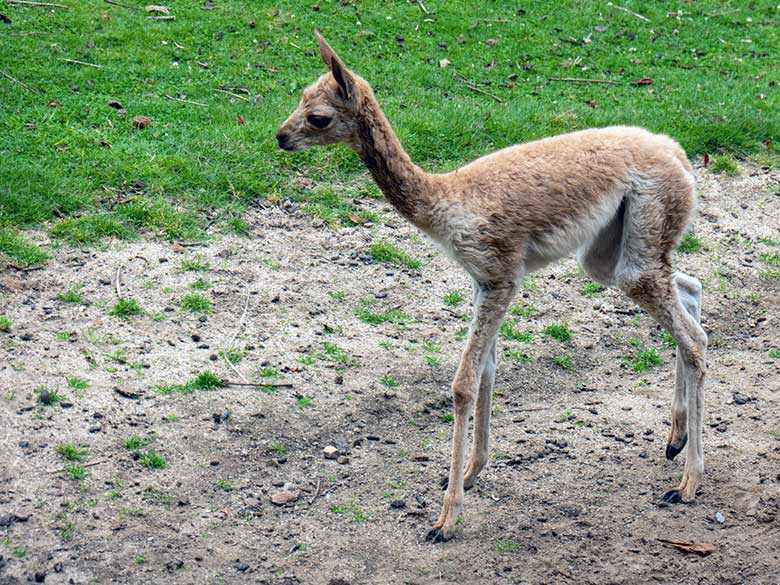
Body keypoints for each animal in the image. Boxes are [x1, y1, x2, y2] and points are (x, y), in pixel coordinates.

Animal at [276, 33, 708, 544]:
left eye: (318, 116)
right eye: (301, 96)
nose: (280, 136)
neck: (446, 201)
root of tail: (677, 153)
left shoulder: (501, 277)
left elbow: (463, 383)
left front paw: (445, 517)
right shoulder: (481, 282)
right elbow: (486, 370)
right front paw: (470, 472)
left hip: (639, 243)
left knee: (694, 339)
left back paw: (688, 482)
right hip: (608, 255)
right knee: (690, 289)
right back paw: (675, 438)